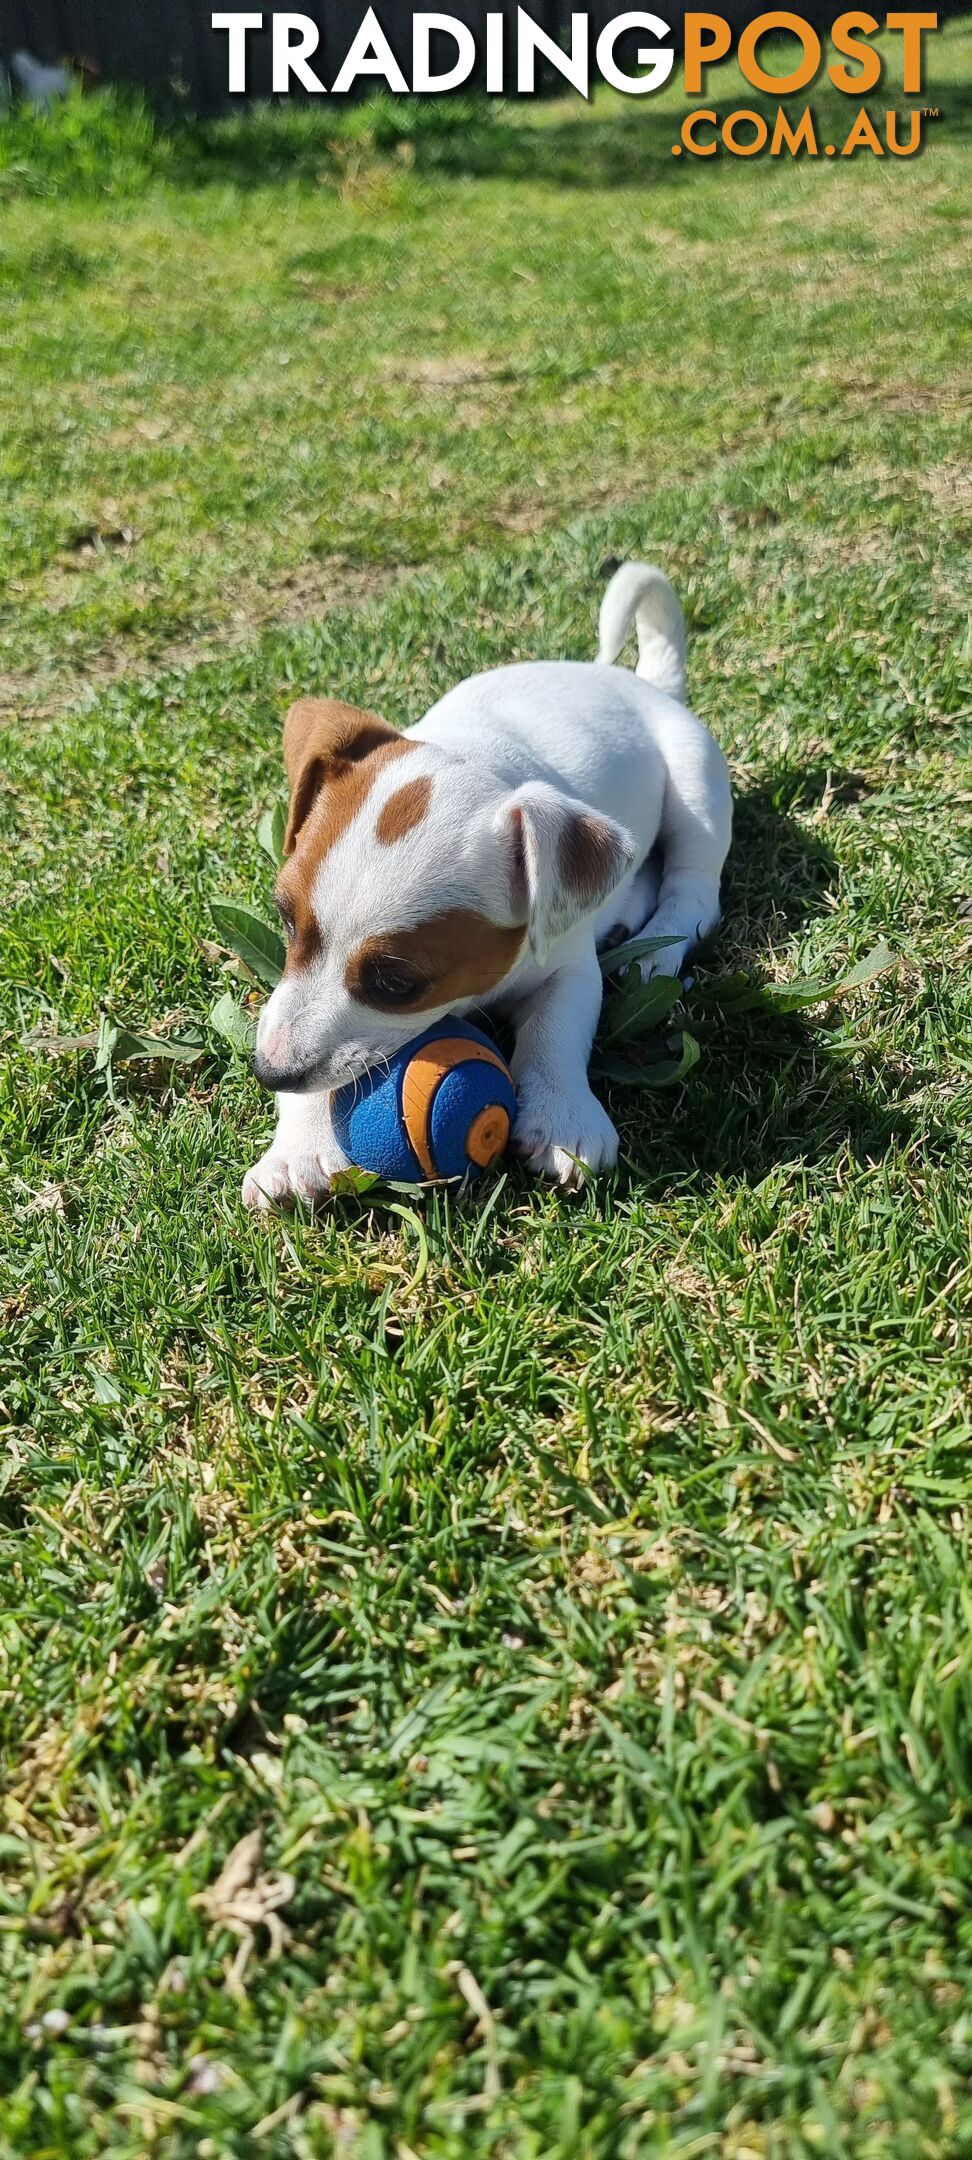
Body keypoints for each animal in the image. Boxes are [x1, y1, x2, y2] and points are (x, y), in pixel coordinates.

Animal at [243, 557, 730, 1209]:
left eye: (396, 982)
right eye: (287, 921)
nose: (269, 1072)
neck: (474, 753)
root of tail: (644, 683)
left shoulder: (568, 970)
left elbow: (555, 1032)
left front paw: (563, 1117)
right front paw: (296, 1148)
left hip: (696, 791)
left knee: (693, 889)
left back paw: (653, 952)